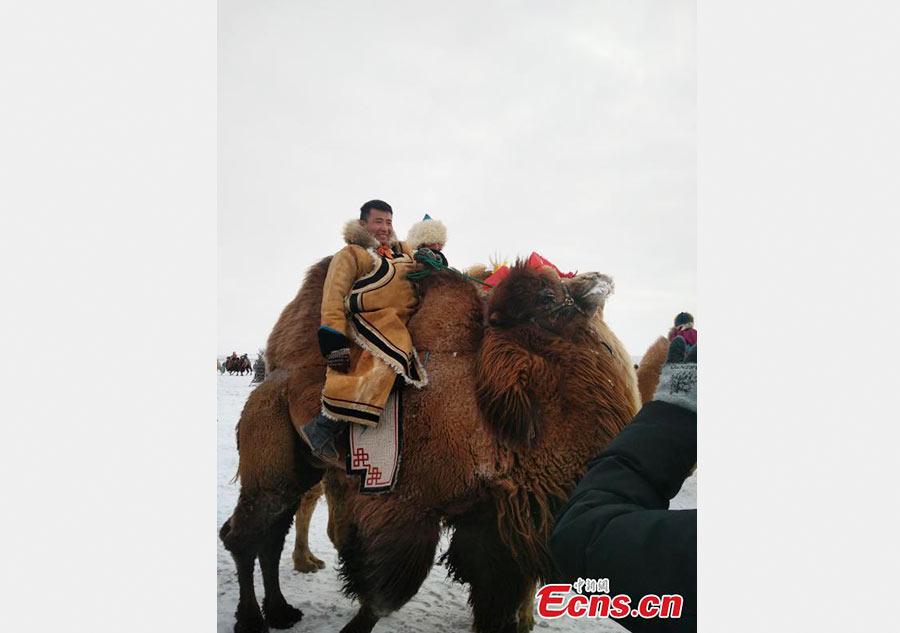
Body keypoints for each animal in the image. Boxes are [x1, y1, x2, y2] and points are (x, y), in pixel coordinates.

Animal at [218, 258, 640, 632]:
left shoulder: (487, 518)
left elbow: (492, 598)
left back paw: (281, 612)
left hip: (301, 468)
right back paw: (253, 620)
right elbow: (385, 596)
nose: (596, 278)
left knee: (270, 536)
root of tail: (271, 382)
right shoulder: (407, 505)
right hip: (269, 462)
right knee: (243, 535)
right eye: (547, 297)